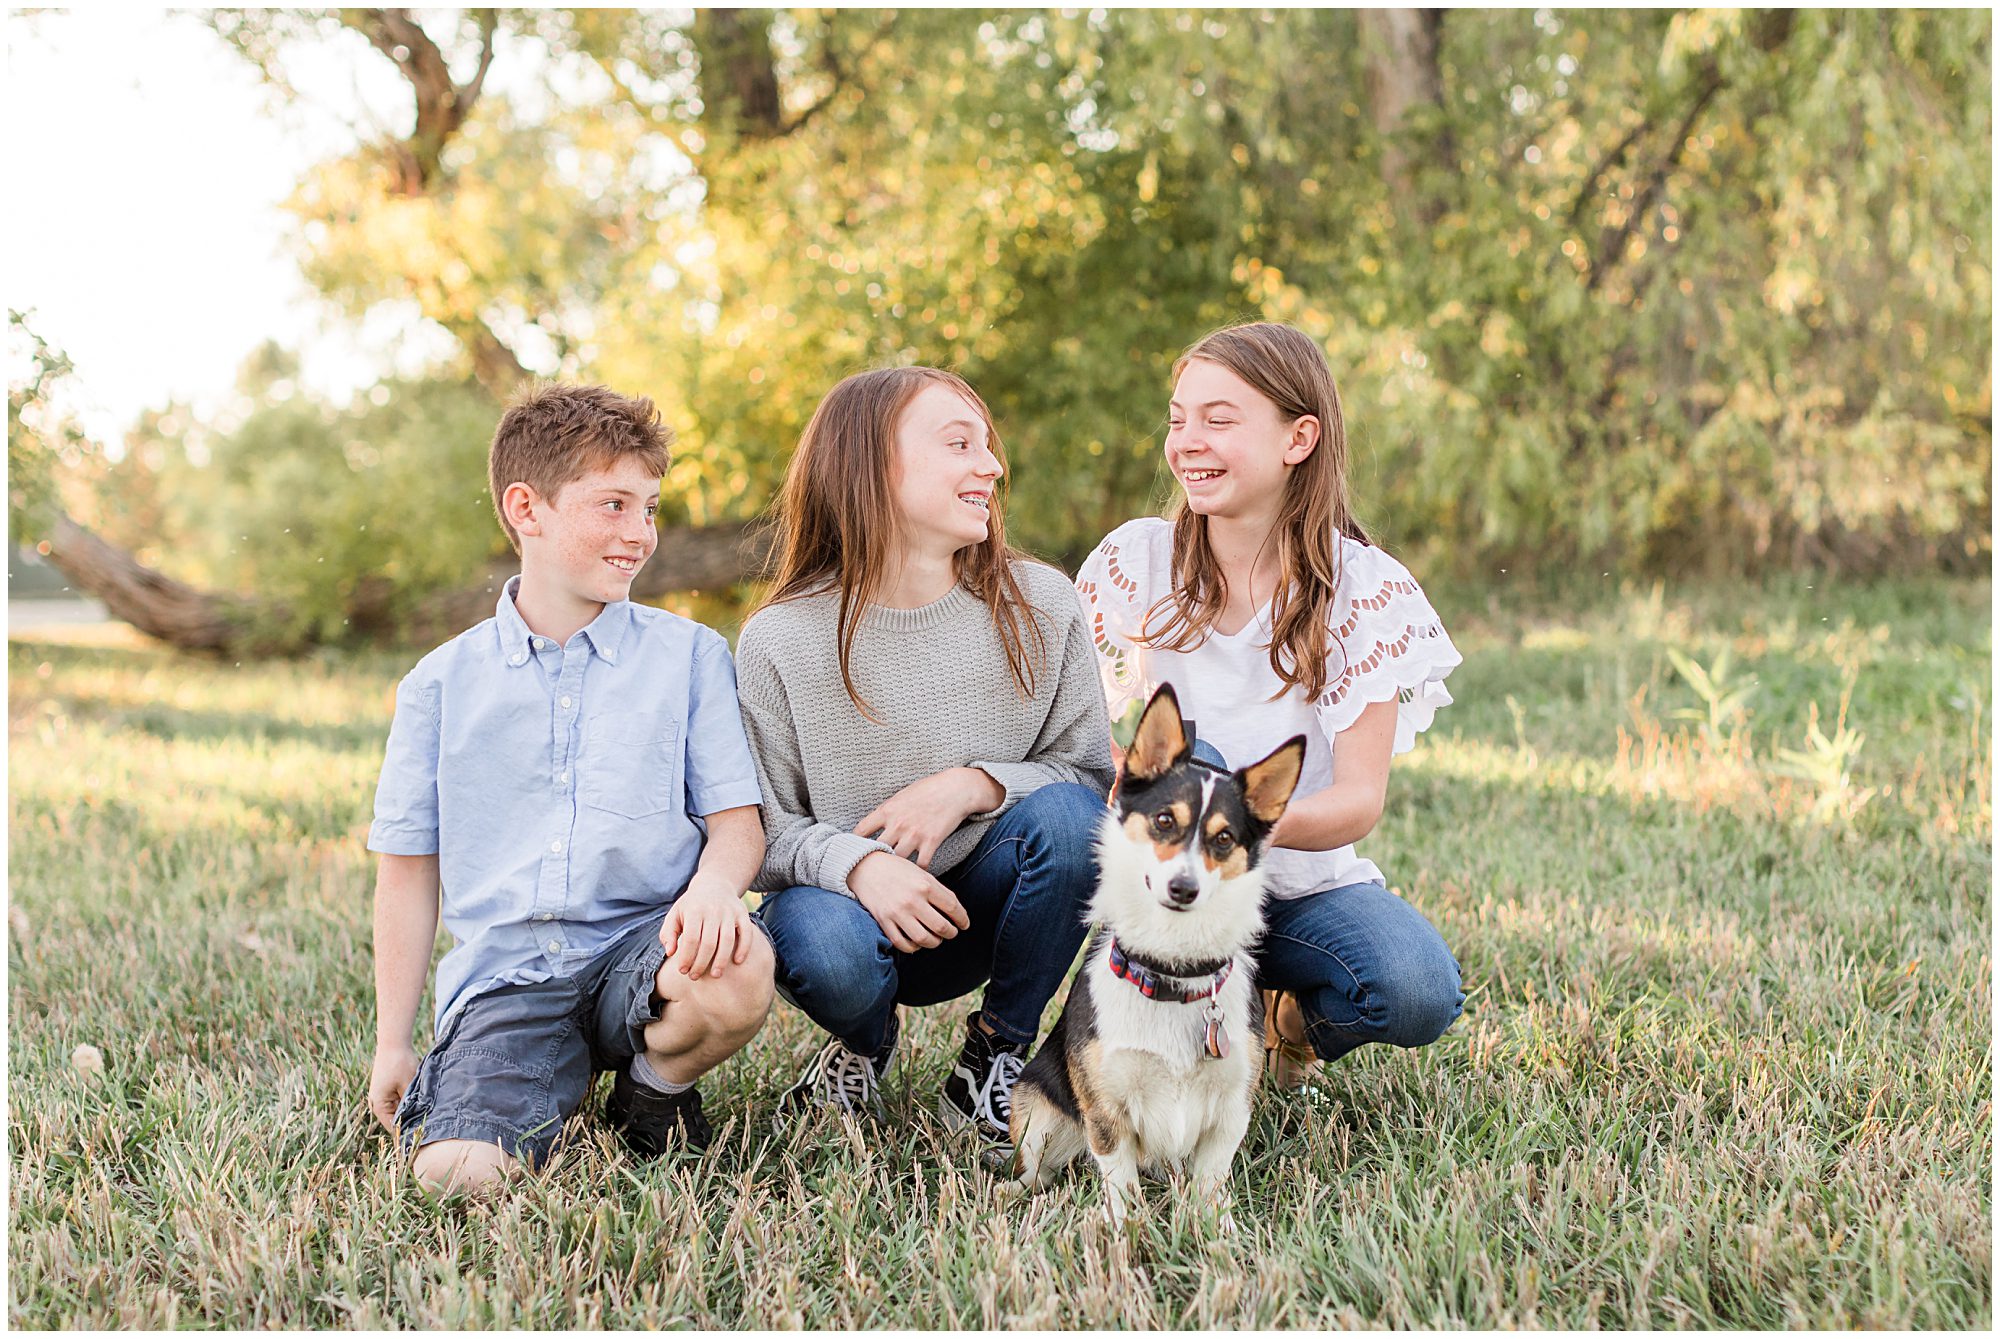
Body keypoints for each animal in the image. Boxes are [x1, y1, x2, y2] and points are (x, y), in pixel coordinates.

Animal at [1000, 687, 1312, 1223]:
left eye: (1224, 838)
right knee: (1040, 1169)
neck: (1173, 973)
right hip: (1035, 1106)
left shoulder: (1231, 1106)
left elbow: (1211, 1180)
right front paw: (1125, 1230)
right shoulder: (1106, 1107)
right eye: (1165, 820)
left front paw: (1216, 1227)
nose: (1183, 889)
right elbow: (1120, 1182)